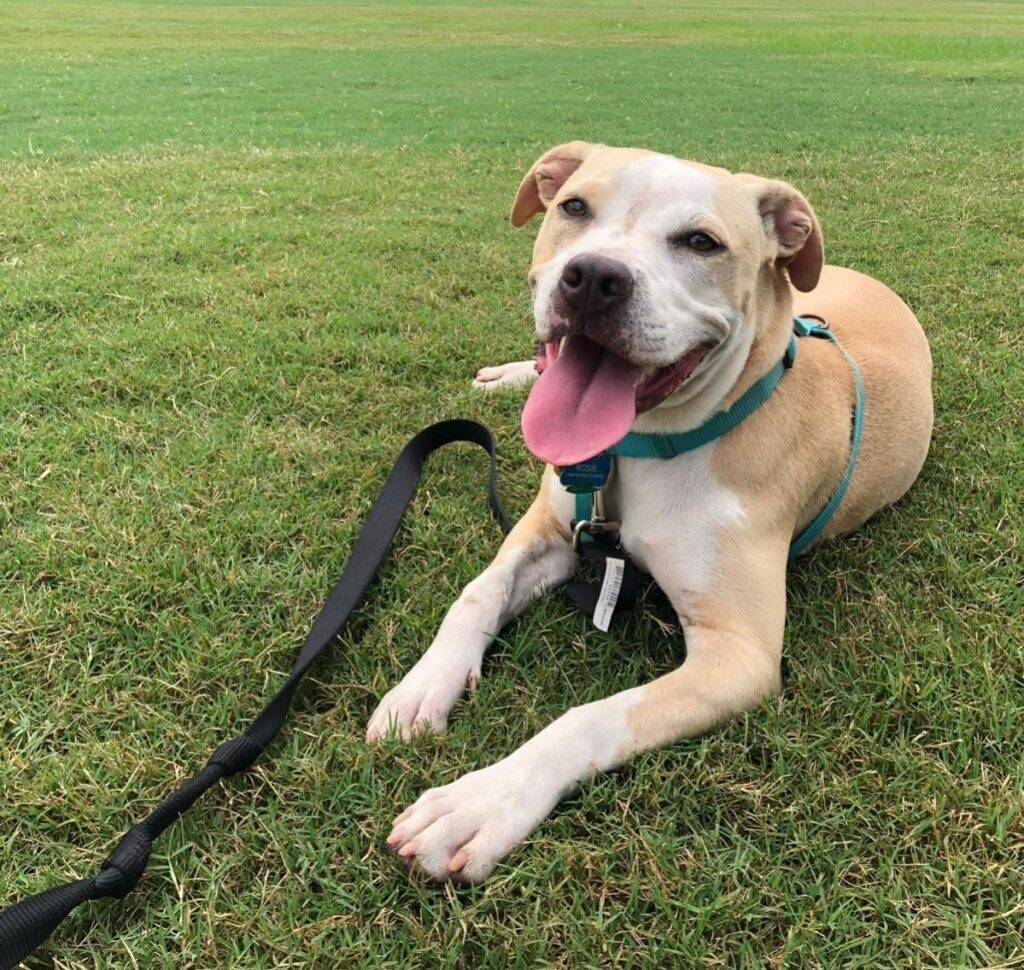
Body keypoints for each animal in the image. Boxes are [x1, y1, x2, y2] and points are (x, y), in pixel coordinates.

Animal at [370, 142, 937, 880]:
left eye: (700, 242)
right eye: (573, 207)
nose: (593, 277)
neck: (641, 451)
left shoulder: (739, 656)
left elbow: (591, 717)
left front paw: (481, 803)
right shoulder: (548, 530)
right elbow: (476, 594)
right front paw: (421, 688)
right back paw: (507, 375)